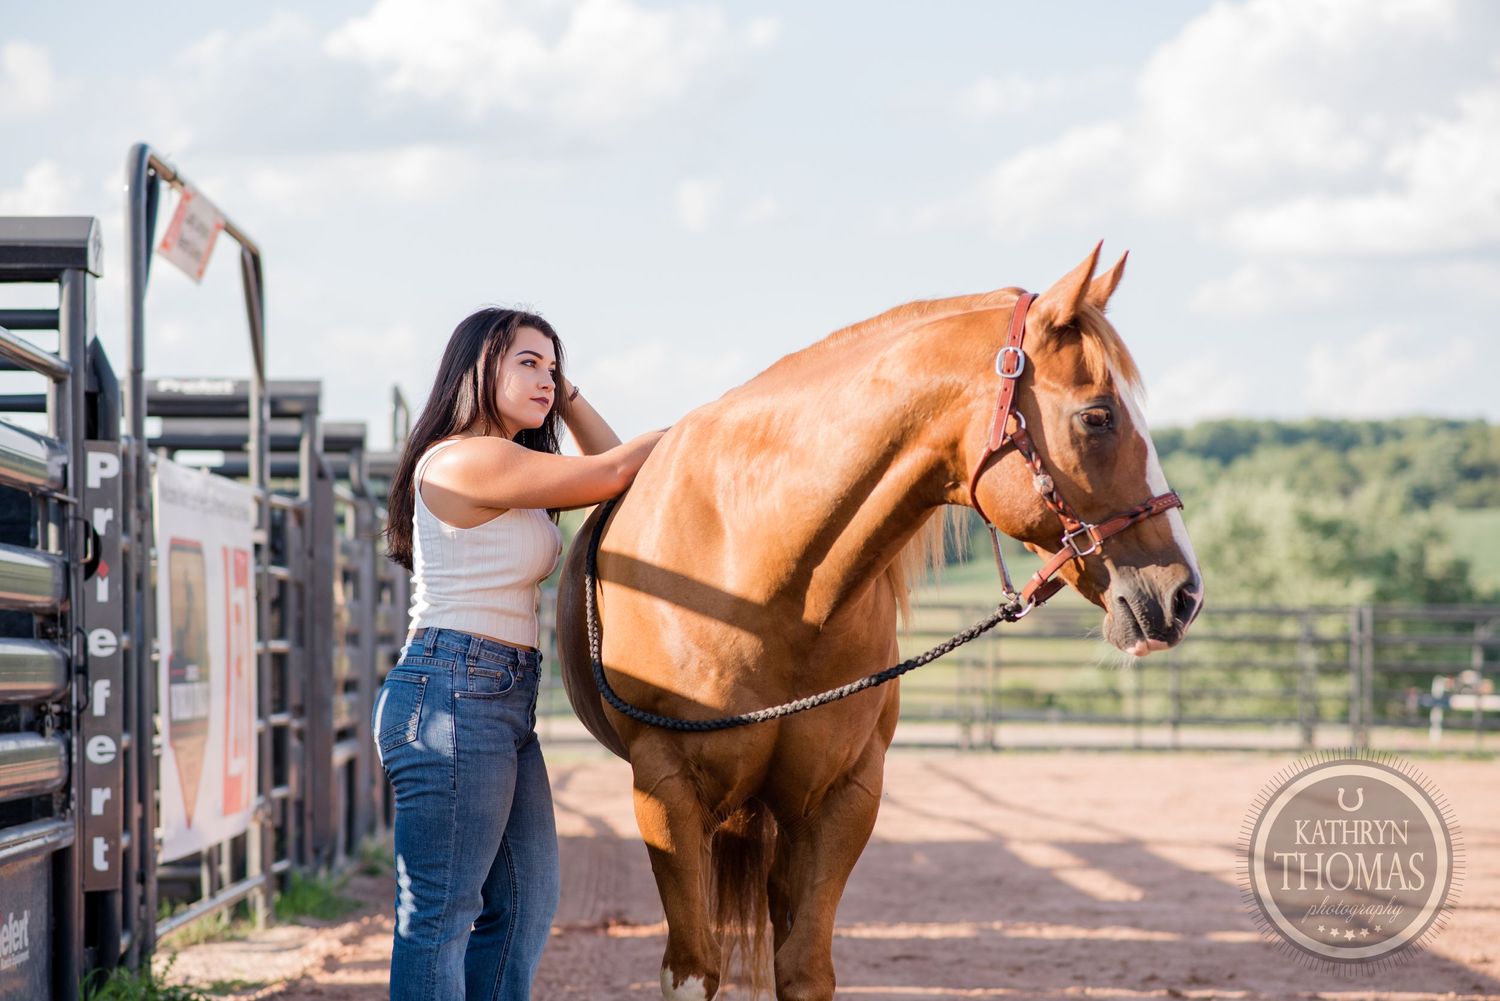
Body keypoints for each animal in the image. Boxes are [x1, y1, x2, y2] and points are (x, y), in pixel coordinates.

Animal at [555, 244, 1203, 1000]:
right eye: (1098, 417)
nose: (1182, 593)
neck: (762, 586)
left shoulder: (842, 799)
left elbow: (804, 970)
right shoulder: (665, 794)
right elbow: (693, 971)